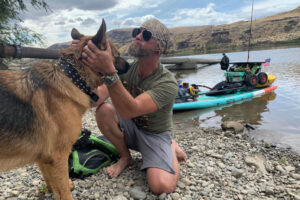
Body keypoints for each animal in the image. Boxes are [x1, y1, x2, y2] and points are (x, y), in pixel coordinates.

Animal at [0, 19, 127, 199]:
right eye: (117, 55)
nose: (130, 65)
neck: (72, 76)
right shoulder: (58, 155)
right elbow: (63, 188)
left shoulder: (45, 157)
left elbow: (52, 181)